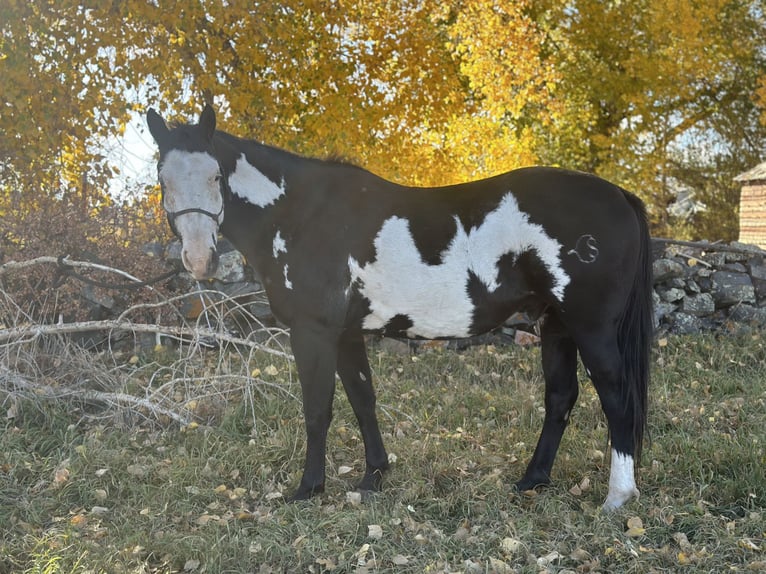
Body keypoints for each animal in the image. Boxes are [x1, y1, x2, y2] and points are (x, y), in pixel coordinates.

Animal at [148, 106, 656, 510]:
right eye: (162, 178)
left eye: (215, 176)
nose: (199, 259)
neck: (302, 214)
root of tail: (619, 195)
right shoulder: (347, 332)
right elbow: (362, 398)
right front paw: (374, 476)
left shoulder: (313, 331)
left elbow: (318, 409)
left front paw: (308, 489)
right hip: (555, 324)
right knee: (560, 397)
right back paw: (532, 481)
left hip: (590, 327)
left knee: (615, 395)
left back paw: (617, 497)